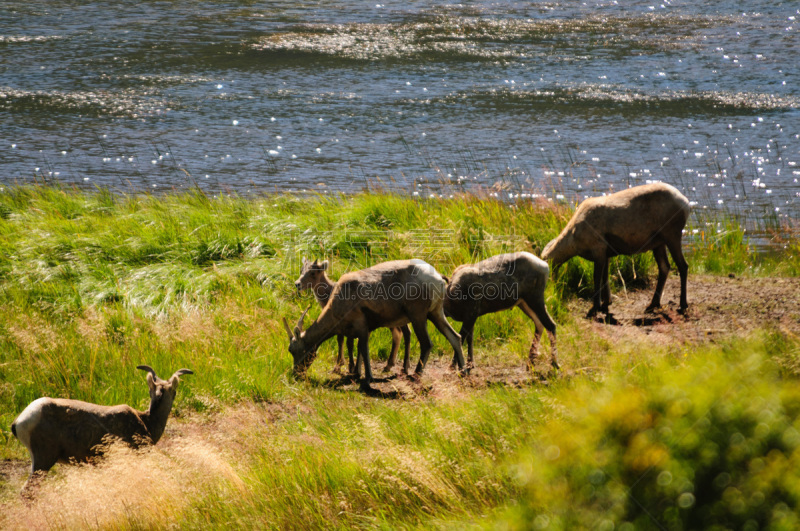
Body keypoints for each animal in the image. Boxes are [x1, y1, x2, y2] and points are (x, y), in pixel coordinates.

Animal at [284, 260, 466, 388]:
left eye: (293, 350)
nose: (296, 373)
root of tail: (438, 278)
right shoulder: (357, 331)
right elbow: (357, 349)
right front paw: (356, 373)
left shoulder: (362, 328)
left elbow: (363, 350)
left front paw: (367, 377)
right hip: (436, 313)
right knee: (455, 337)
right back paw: (464, 372)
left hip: (418, 317)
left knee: (426, 343)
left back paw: (415, 375)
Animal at [540, 183, 692, 316]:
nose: (550, 289)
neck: (573, 237)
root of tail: (685, 203)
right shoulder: (605, 254)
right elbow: (605, 277)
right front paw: (606, 304)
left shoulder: (598, 250)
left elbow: (597, 278)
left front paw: (594, 308)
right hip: (658, 243)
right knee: (664, 267)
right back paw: (652, 305)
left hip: (672, 235)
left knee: (683, 266)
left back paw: (682, 305)